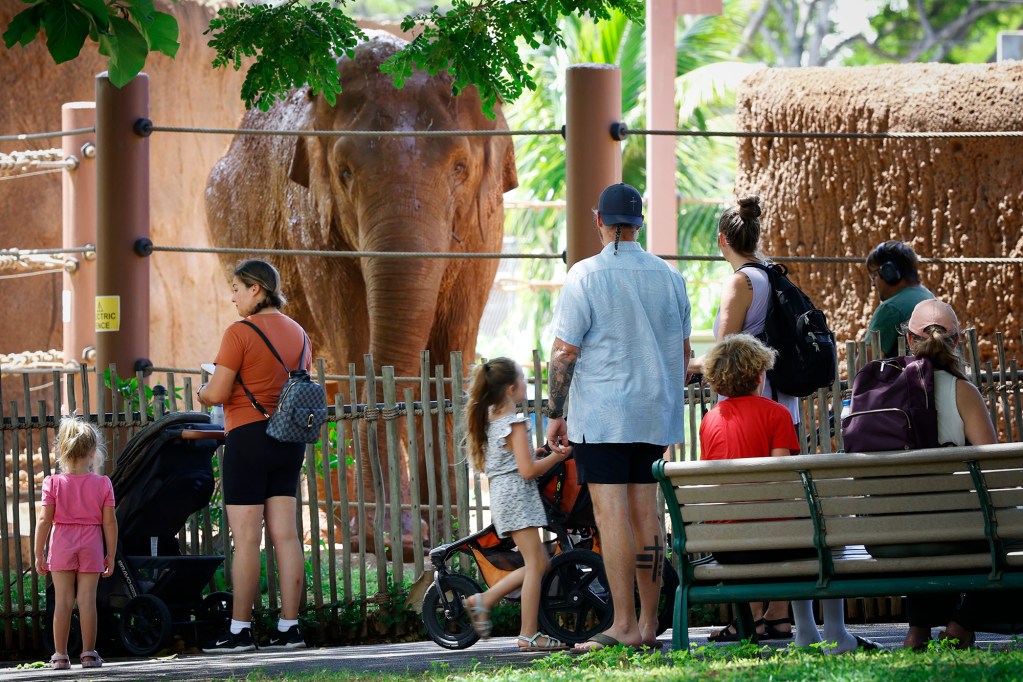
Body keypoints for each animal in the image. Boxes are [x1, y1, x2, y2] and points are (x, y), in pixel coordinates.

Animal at [205, 33, 518, 558]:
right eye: (345, 171)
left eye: (460, 166)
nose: (406, 540)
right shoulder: (311, 225)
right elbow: (355, 342)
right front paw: (392, 537)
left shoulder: (485, 228)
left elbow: (450, 350)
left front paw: (447, 531)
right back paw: (342, 532)